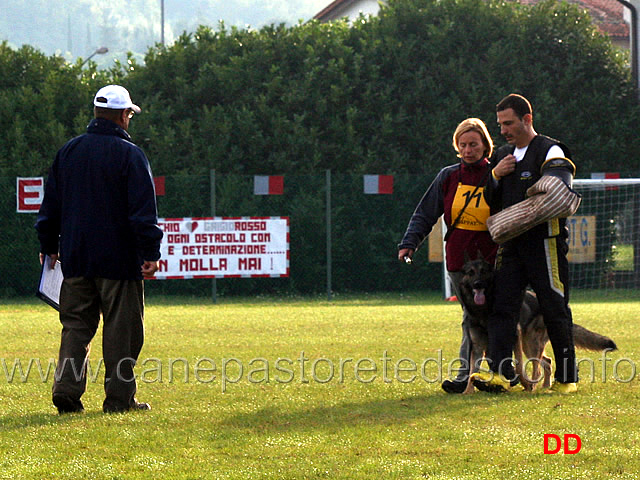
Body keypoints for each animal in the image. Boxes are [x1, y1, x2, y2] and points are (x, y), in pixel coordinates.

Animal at [458, 255, 616, 394]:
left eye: (484, 271)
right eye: (470, 273)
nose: (478, 284)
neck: (483, 310)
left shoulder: (515, 337)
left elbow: (519, 366)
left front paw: (525, 383)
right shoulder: (478, 347)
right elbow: (472, 371)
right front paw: (467, 391)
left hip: (529, 343)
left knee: (537, 366)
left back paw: (533, 386)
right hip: (528, 345)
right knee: (547, 361)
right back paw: (545, 385)